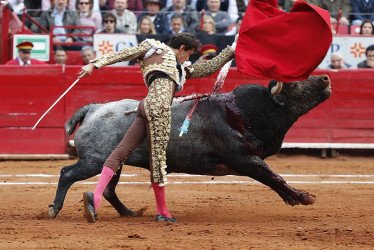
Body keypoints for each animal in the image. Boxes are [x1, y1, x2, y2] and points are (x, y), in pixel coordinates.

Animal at [48, 74, 332, 219]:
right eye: (295, 84)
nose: (326, 78)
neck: (247, 110)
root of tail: (94, 108)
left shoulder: (248, 160)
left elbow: (273, 178)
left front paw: (292, 197)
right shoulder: (244, 159)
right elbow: (274, 176)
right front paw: (303, 197)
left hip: (114, 160)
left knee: (108, 189)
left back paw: (127, 212)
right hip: (94, 160)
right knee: (68, 174)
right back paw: (55, 209)